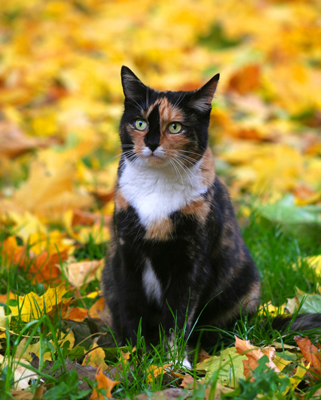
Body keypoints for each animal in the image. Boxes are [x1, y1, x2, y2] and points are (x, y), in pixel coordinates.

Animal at [101, 66, 262, 350]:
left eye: (175, 127)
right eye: (141, 123)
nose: (152, 143)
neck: (156, 187)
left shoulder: (191, 262)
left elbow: (179, 317)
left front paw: (174, 359)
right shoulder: (125, 253)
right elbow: (131, 307)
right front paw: (134, 353)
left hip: (246, 290)